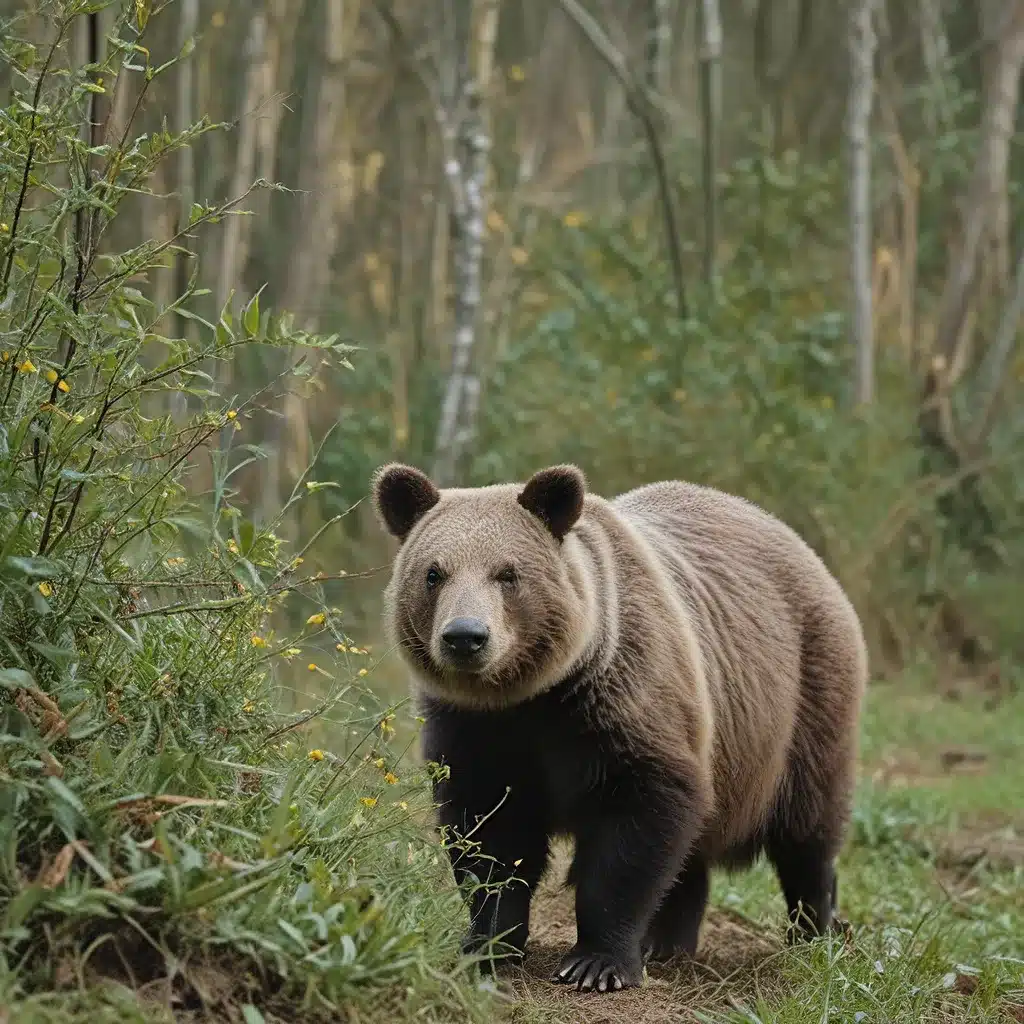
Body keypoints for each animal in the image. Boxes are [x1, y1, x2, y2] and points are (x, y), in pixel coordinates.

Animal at [372, 464, 868, 991]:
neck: (531, 694)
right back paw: (668, 943)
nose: (465, 637)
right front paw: (489, 945)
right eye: (433, 573)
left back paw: (814, 931)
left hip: (802, 701)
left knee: (808, 828)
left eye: (507, 573)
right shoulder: (475, 728)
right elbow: (489, 833)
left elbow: (634, 829)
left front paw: (597, 963)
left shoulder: (622, 699)